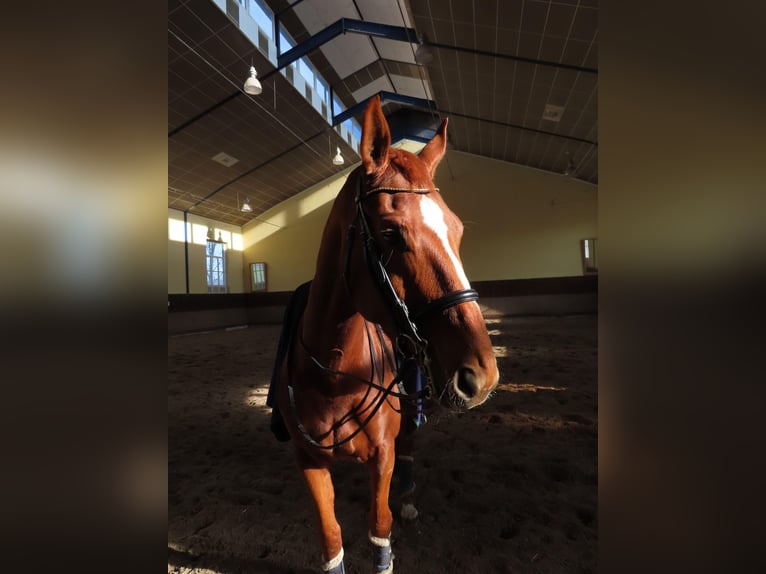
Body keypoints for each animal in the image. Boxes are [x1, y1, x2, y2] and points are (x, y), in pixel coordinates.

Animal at [270, 95, 499, 573]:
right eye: (391, 232)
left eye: (457, 230)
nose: (482, 375)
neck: (334, 371)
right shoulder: (308, 461)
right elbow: (331, 539)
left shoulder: (383, 455)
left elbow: (380, 528)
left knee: (410, 446)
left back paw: (409, 500)